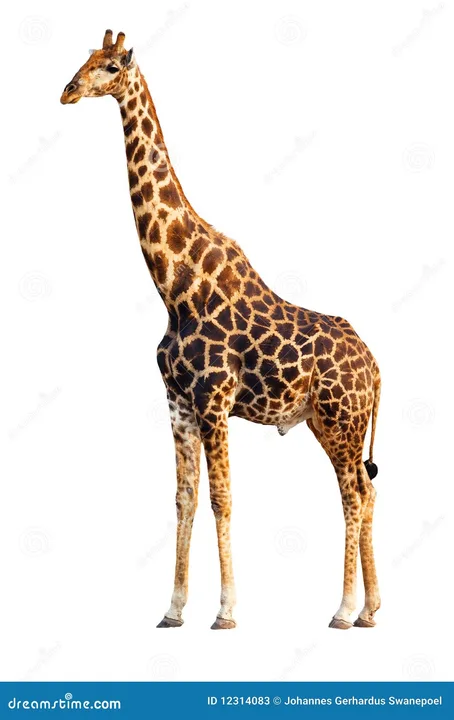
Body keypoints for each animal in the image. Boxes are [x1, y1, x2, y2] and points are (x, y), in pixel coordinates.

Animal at [61, 30, 381, 630]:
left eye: (110, 67)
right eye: (84, 61)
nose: (66, 91)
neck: (174, 285)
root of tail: (376, 369)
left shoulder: (213, 399)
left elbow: (221, 498)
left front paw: (227, 610)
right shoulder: (177, 401)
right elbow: (184, 498)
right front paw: (172, 609)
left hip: (342, 419)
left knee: (353, 494)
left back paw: (344, 610)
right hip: (325, 421)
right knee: (366, 491)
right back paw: (371, 609)